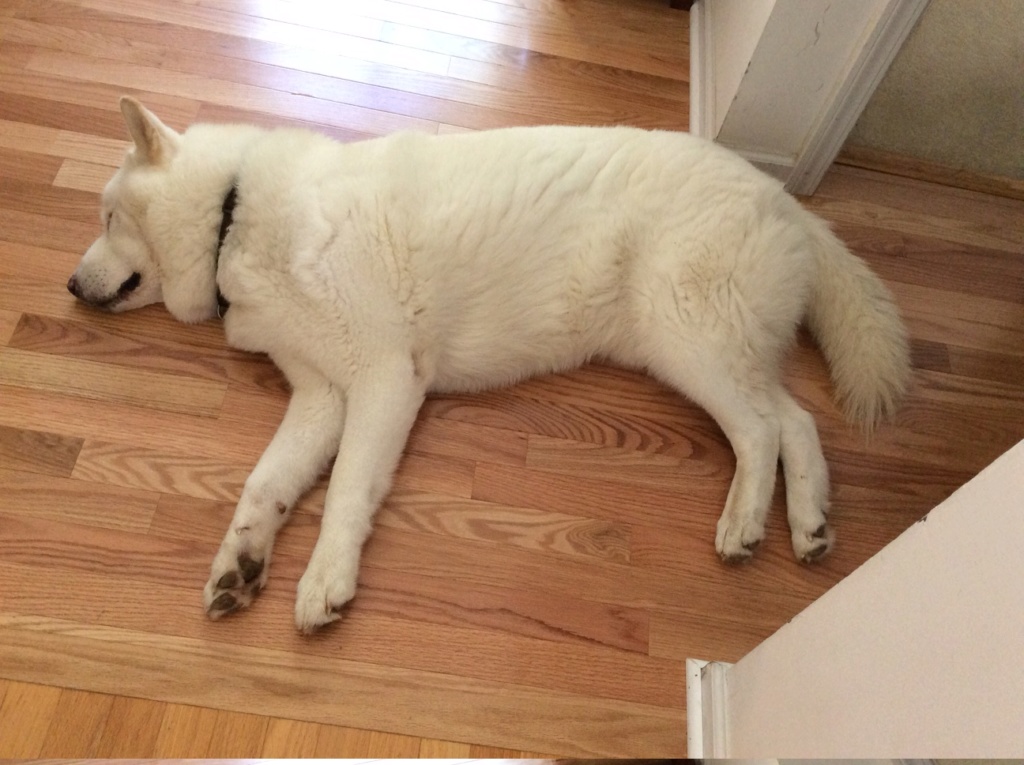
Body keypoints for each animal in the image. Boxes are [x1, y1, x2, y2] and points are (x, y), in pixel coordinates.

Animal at [68, 97, 909, 634]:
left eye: (107, 215)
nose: (71, 286)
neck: (235, 215)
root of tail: (784, 198)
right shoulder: (322, 393)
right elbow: (265, 484)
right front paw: (241, 562)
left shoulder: (384, 379)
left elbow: (344, 490)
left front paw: (325, 582)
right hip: (710, 347)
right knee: (796, 421)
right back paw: (808, 524)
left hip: (686, 336)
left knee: (762, 429)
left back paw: (743, 524)